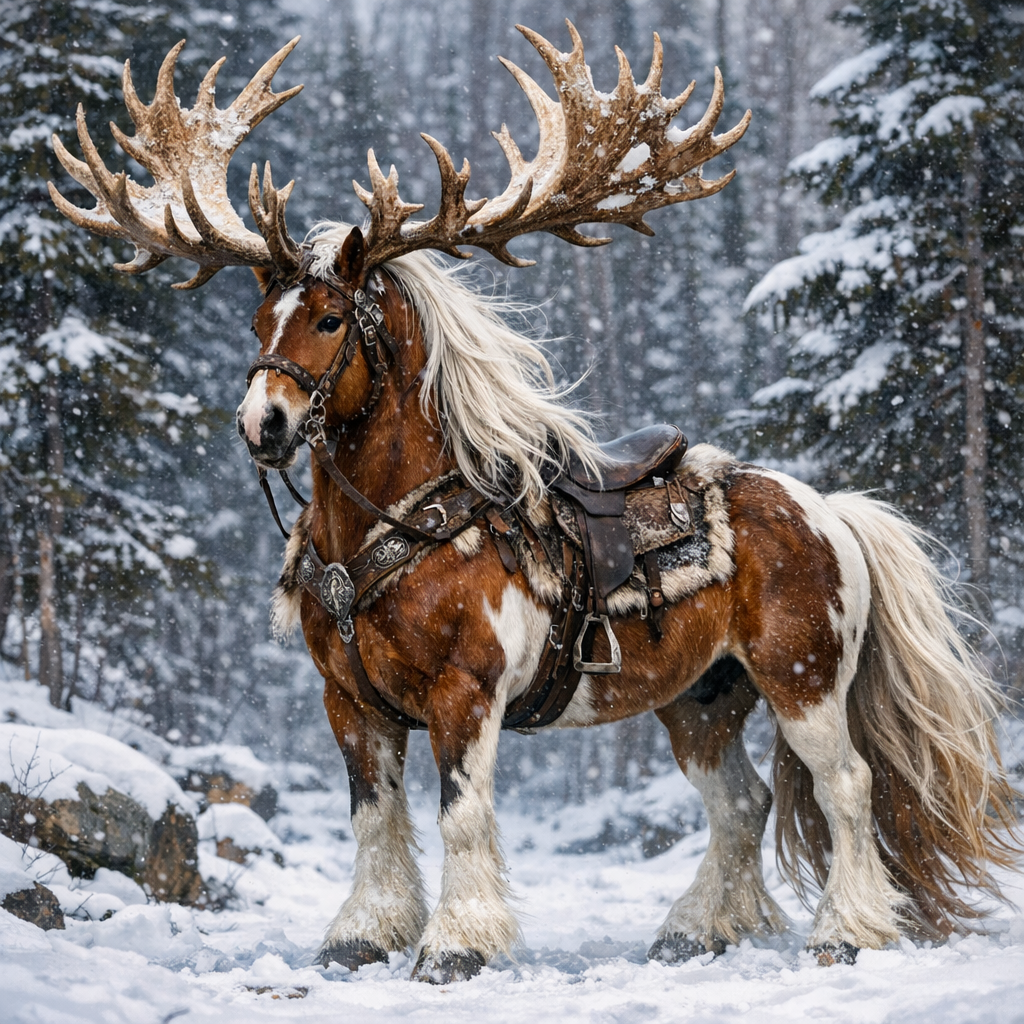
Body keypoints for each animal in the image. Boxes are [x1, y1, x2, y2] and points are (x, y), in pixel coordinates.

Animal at [49, 25, 1019, 984]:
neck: (394, 532)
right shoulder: (350, 701)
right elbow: (373, 819)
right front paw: (362, 935)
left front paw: (457, 943)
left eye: (329, 319)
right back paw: (695, 930)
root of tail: (830, 512)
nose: (265, 424)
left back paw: (846, 931)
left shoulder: (467, 692)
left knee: (844, 786)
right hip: (701, 698)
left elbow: (461, 816)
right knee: (742, 802)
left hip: (802, 678)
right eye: (258, 323)